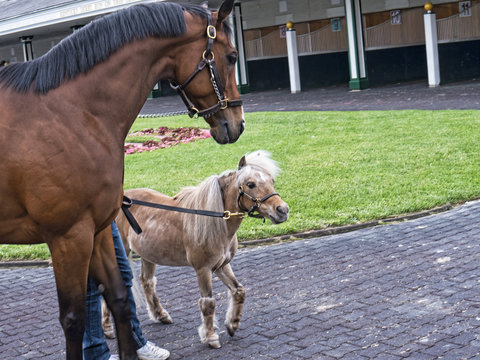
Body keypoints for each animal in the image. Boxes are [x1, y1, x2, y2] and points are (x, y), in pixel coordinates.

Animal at [0, 1, 246, 358]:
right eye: (231, 56)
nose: (237, 123)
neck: (71, 113)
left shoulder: (97, 229)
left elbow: (118, 298)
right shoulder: (68, 236)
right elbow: (74, 317)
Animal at [102, 150, 288, 348]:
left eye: (271, 180)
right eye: (250, 184)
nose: (282, 210)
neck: (215, 221)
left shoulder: (222, 266)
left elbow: (239, 291)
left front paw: (232, 324)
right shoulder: (203, 269)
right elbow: (208, 303)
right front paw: (210, 337)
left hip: (148, 256)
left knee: (147, 282)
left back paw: (161, 315)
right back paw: (107, 329)